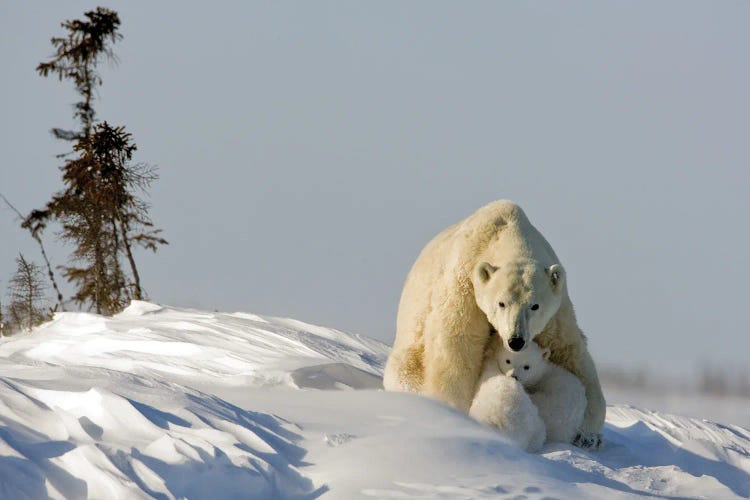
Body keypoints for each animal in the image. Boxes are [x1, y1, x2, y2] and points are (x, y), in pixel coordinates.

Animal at [384, 199, 608, 450]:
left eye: (535, 306)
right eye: (501, 303)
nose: (516, 340)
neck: (509, 231)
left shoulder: (555, 313)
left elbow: (571, 353)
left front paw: (588, 435)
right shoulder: (465, 287)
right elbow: (456, 347)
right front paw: (451, 412)